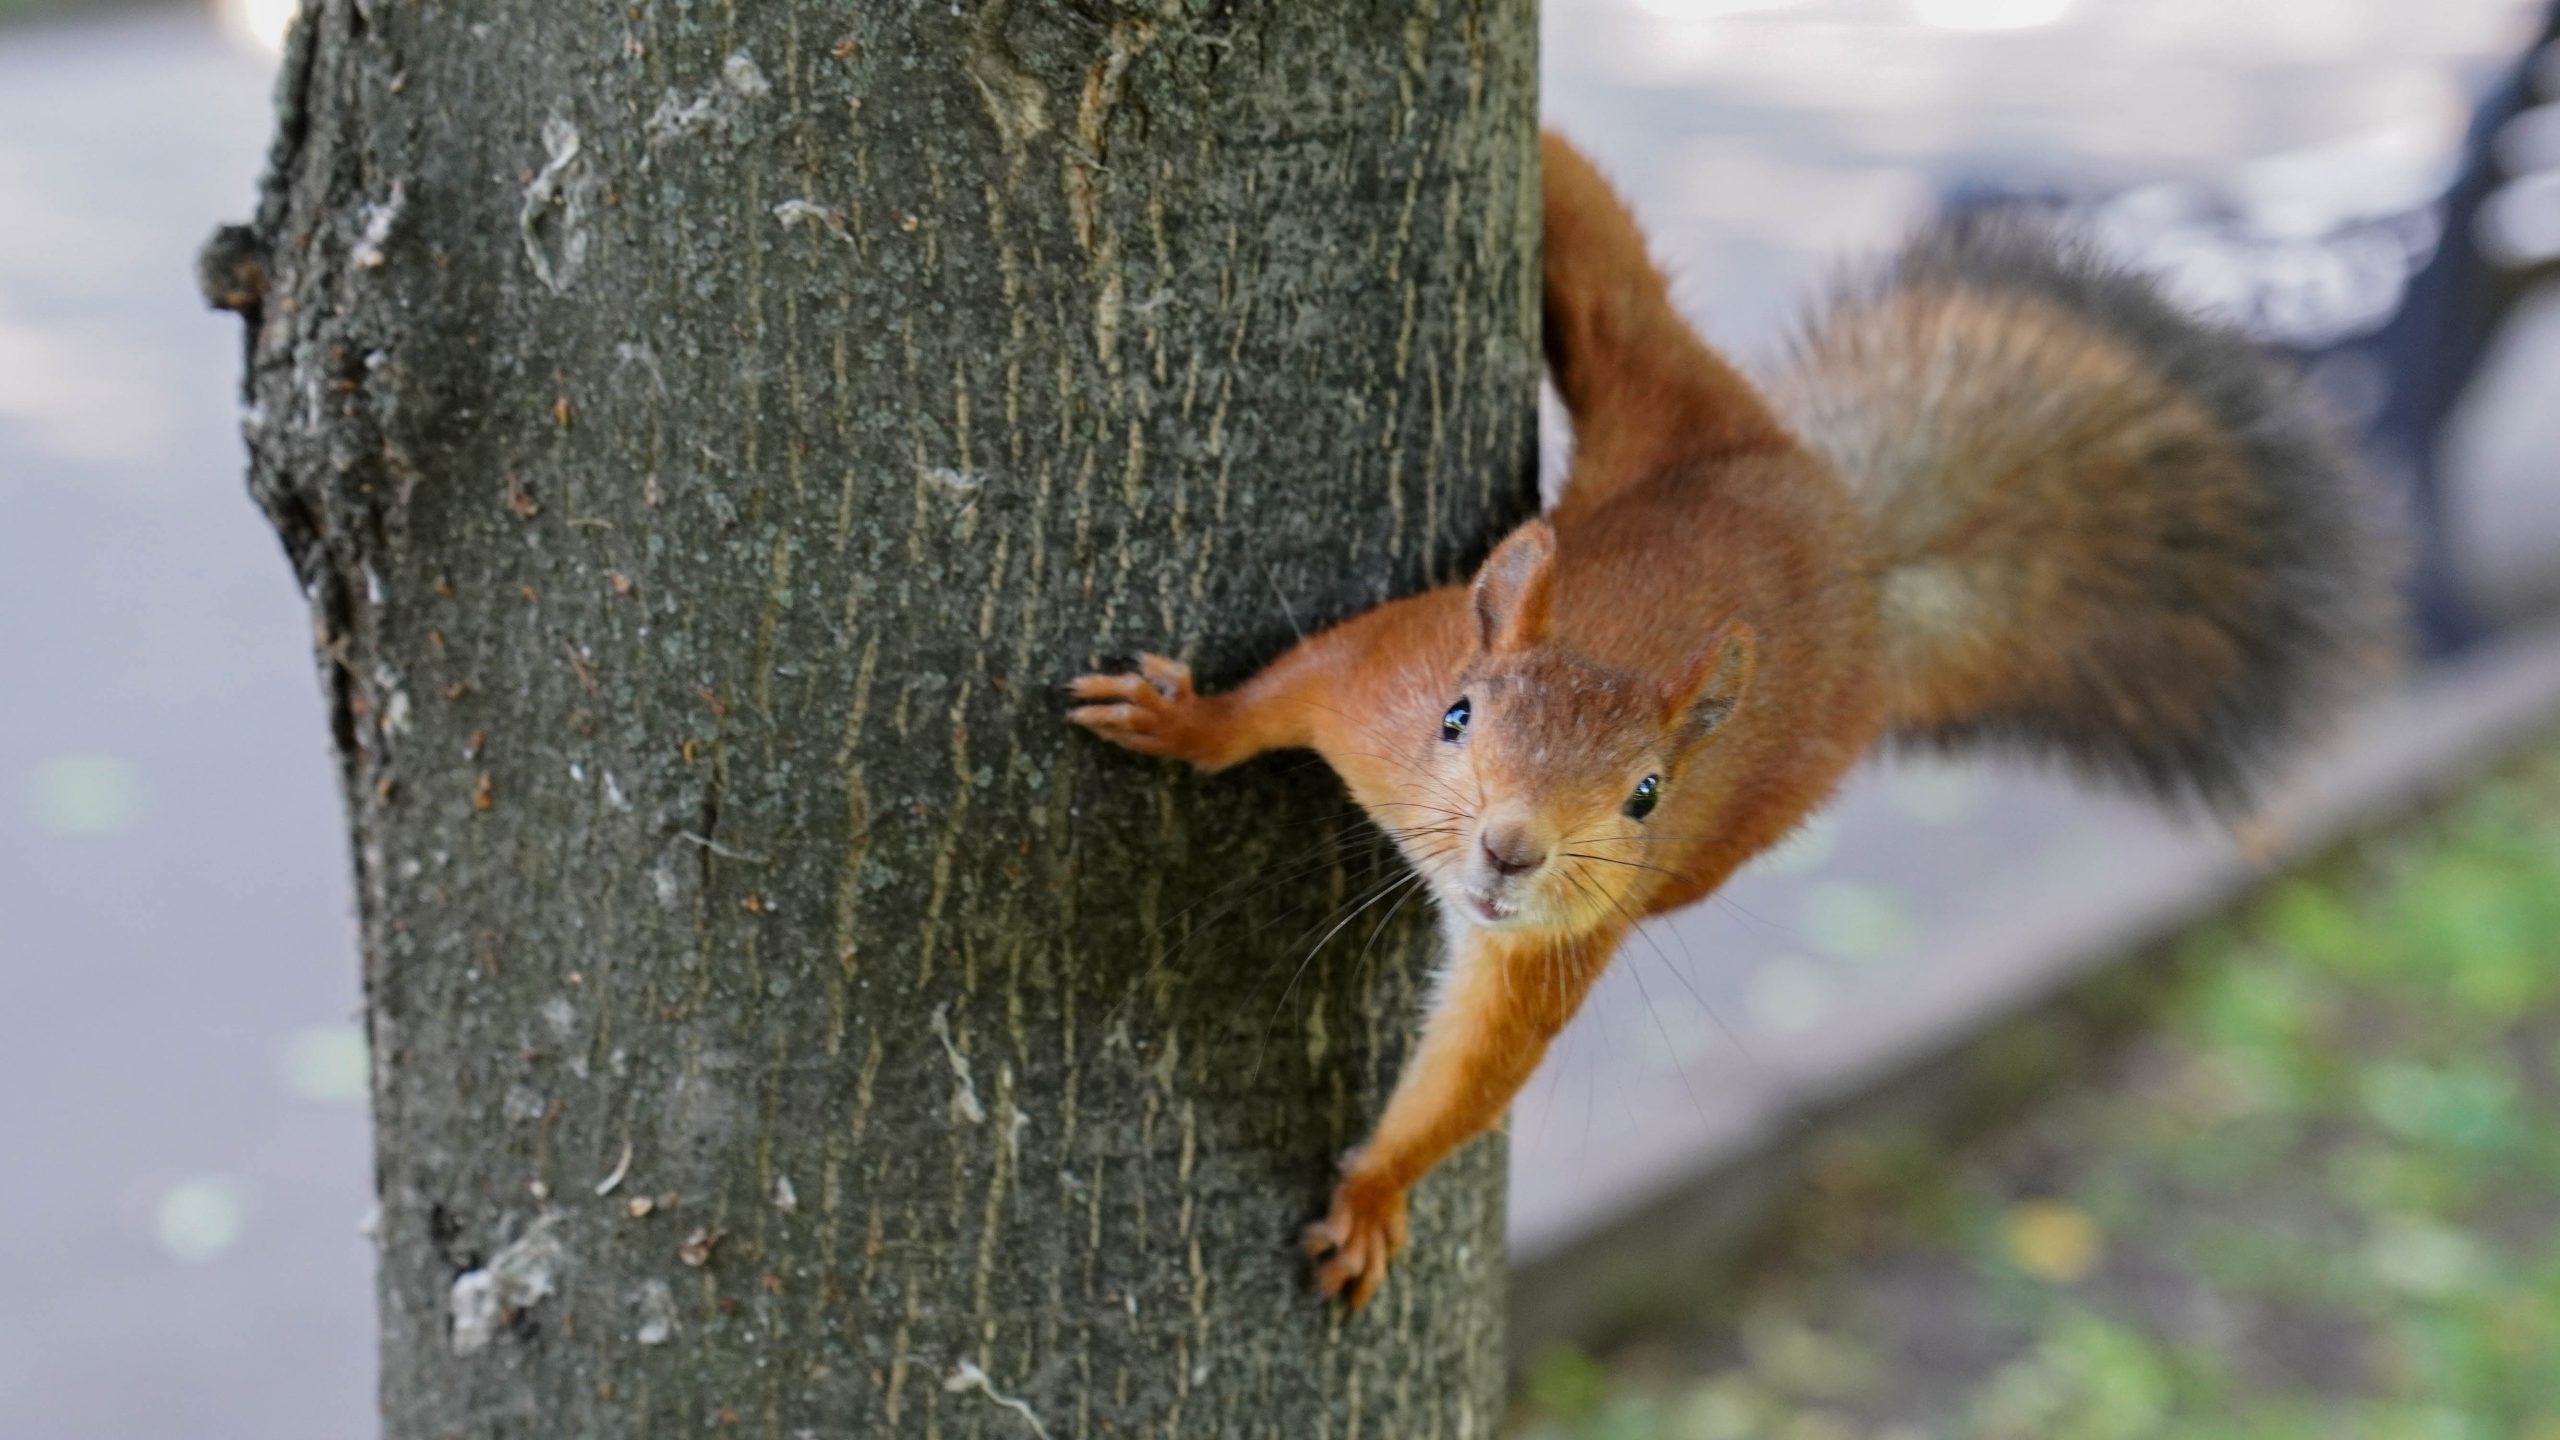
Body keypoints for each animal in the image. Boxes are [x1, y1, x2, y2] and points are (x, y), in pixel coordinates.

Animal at [1059, 131, 2396, 1301]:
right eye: (1456, 718)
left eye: (1645, 794)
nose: (1510, 849)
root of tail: (1859, 555)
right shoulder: (1378, 681)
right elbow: (1284, 689)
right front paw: (1187, 724)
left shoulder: (1566, 933)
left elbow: (1476, 1071)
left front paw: (1377, 1194)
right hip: (1671, 396)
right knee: (1614, 287)